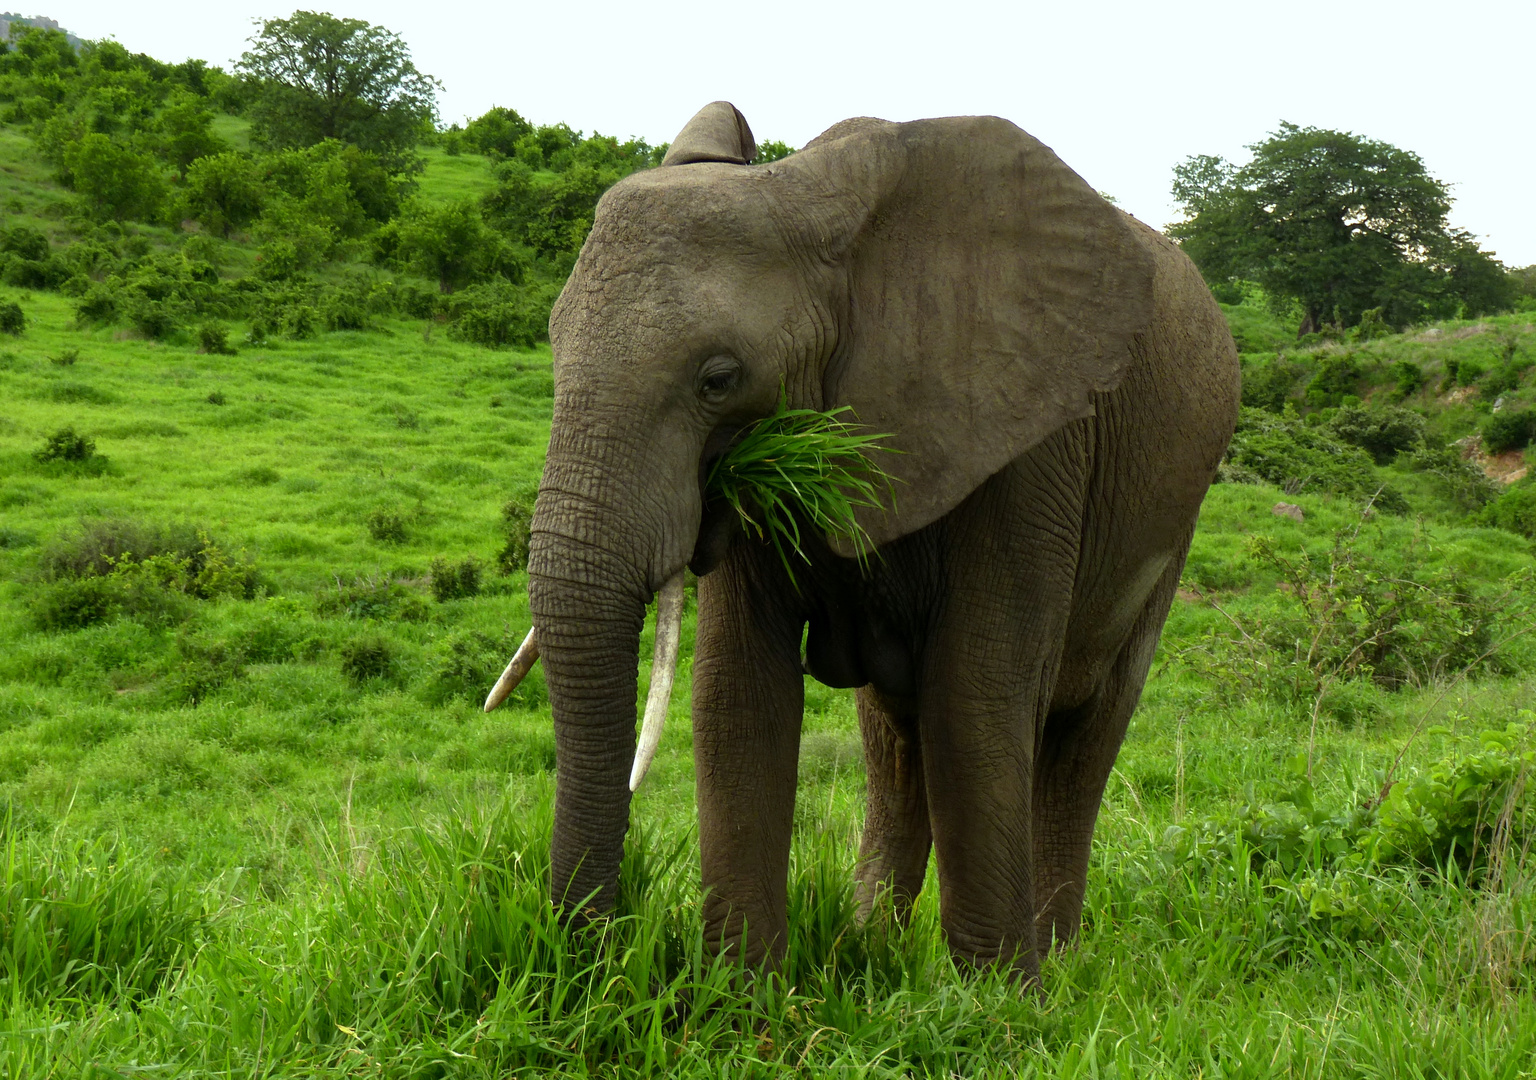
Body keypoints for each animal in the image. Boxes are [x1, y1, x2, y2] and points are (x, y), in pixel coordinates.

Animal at [485, 101, 1241, 983]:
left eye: (718, 379)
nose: (590, 954)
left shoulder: (1035, 441)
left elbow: (979, 693)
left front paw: (998, 1001)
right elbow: (737, 695)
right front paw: (745, 997)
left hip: (1174, 520)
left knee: (1080, 738)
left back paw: (1057, 967)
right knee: (896, 739)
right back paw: (871, 945)